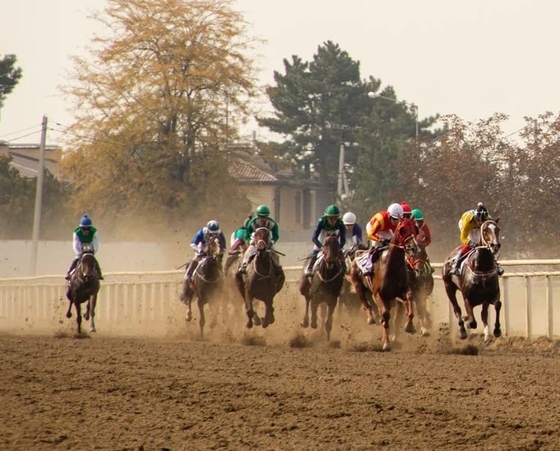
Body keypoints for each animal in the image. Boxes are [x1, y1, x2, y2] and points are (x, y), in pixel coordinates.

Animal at [350, 217, 420, 352]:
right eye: (403, 229)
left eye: (415, 228)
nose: (414, 248)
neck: (392, 265)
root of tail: (357, 254)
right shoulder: (378, 294)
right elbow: (386, 315)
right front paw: (386, 343)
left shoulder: (403, 290)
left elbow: (409, 298)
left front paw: (409, 325)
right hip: (359, 286)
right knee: (366, 303)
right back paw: (370, 318)